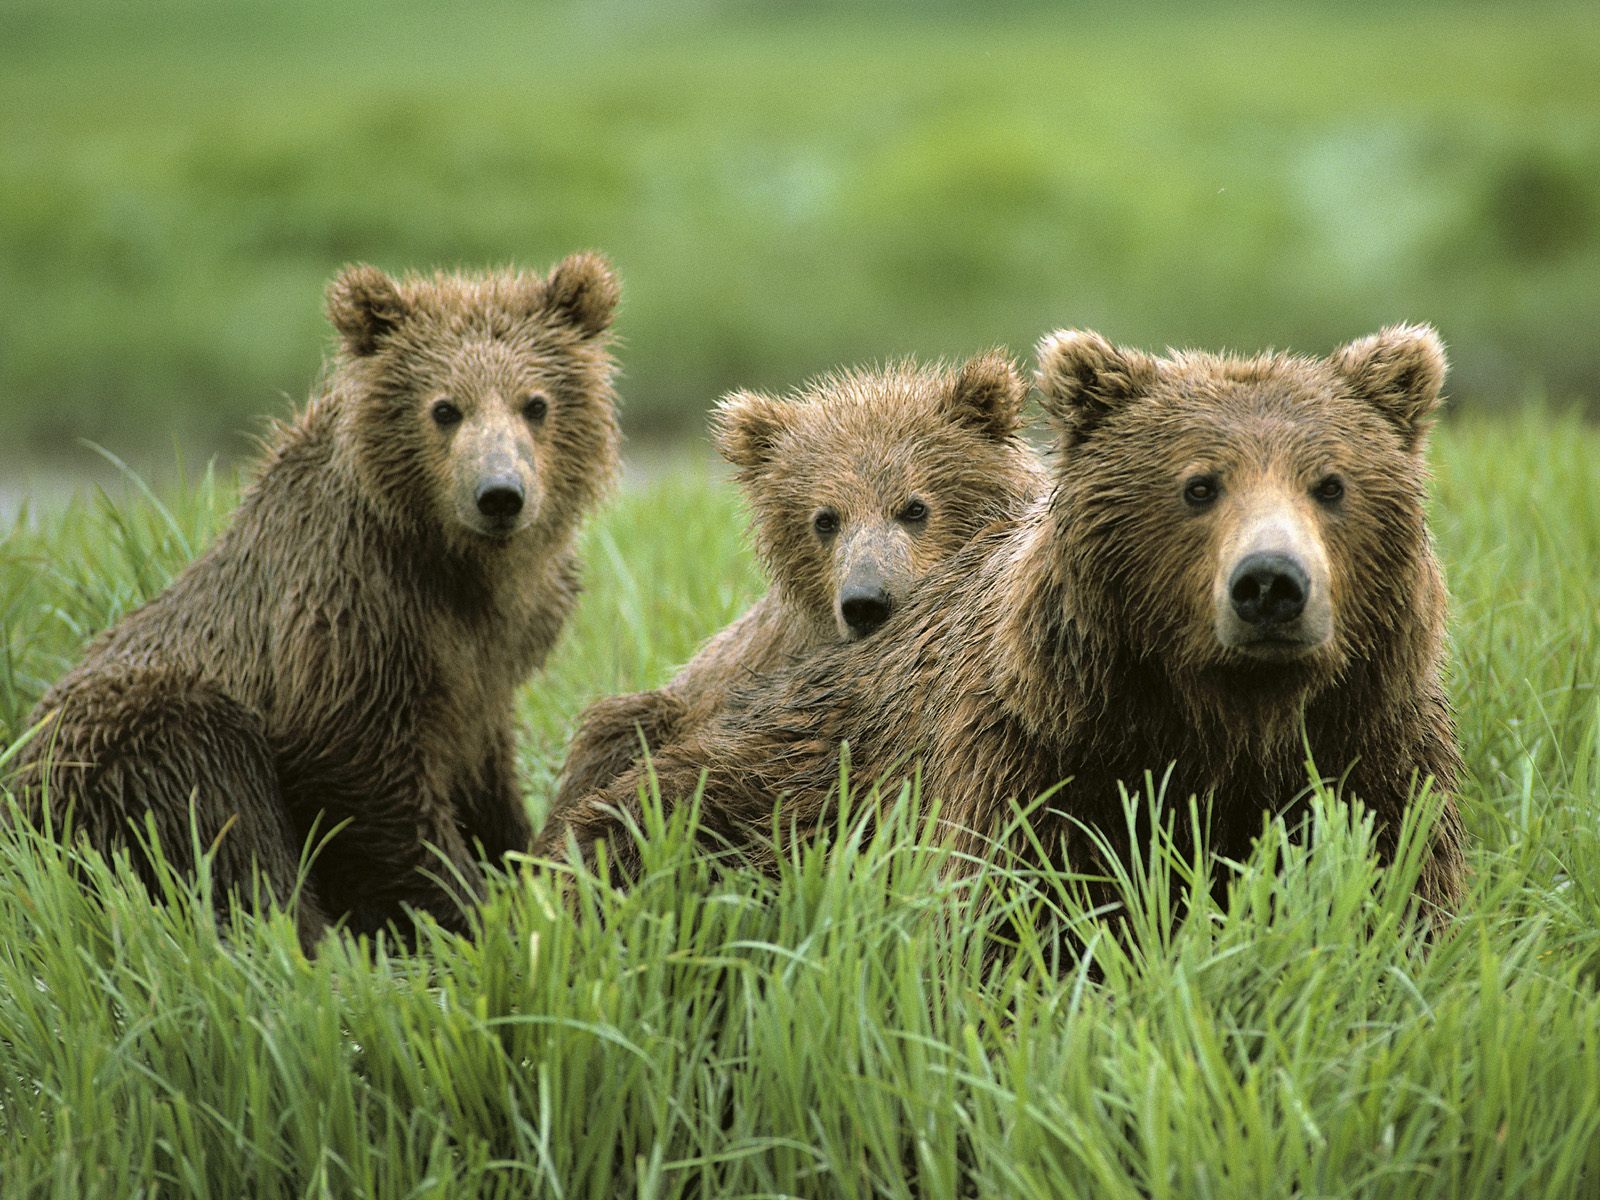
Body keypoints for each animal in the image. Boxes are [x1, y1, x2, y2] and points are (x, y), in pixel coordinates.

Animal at [14, 254, 624, 947]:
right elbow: (366, 783)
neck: (458, 569)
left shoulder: (491, 660)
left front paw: (520, 862)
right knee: (221, 821)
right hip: (134, 742)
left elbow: (486, 775)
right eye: (445, 408)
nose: (499, 494)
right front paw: (472, 911)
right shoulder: (350, 616)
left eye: (536, 403)